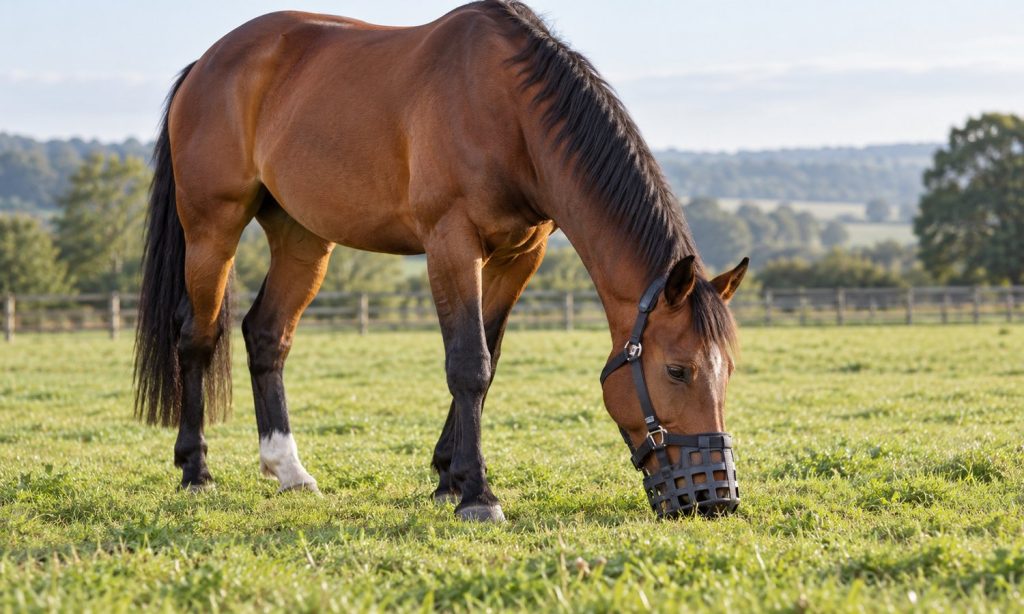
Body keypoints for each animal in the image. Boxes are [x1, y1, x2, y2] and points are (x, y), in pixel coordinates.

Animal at [134, 0, 748, 521]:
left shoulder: (519, 256)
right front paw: (477, 494)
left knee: (266, 335)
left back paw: (288, 470)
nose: (714, 496)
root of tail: (207, 63)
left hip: (302, 237)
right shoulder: (451, 244)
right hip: (212, 228)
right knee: (196, 335)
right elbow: (468, 363)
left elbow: (488, 362)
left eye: (728, 370)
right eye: (678, 370)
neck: (509, 110)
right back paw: (196, 470)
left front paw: (447, 478)